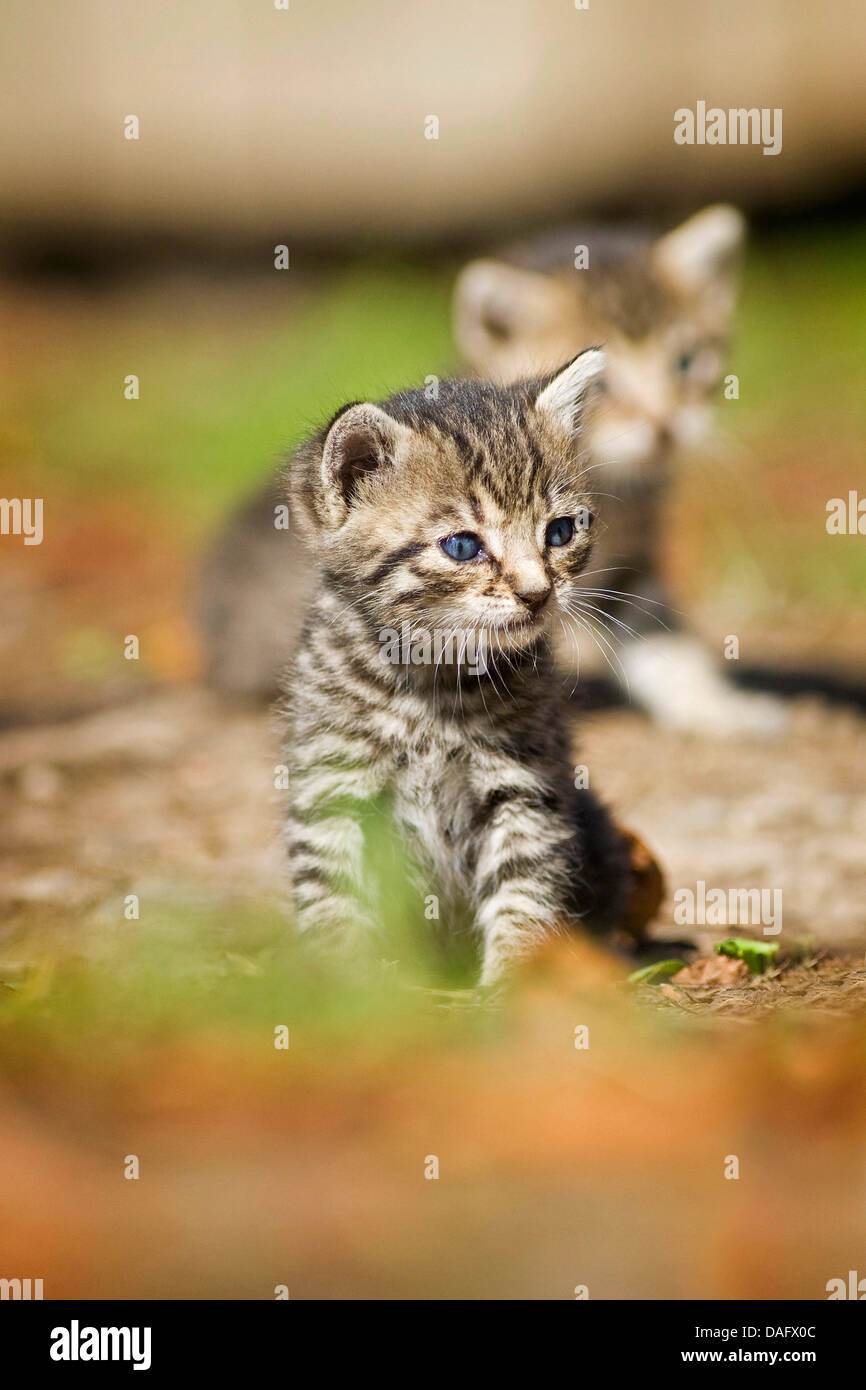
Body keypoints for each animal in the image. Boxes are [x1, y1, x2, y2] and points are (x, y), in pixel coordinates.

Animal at [280, 347, 633, 984]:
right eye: (463, 547)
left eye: (560, 532)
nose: (538, 594)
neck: (431, 680)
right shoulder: (332, 783)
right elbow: (334, 892)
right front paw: (345, 985)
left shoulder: (524, 783)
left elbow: (523, 885)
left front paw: (516, 982)